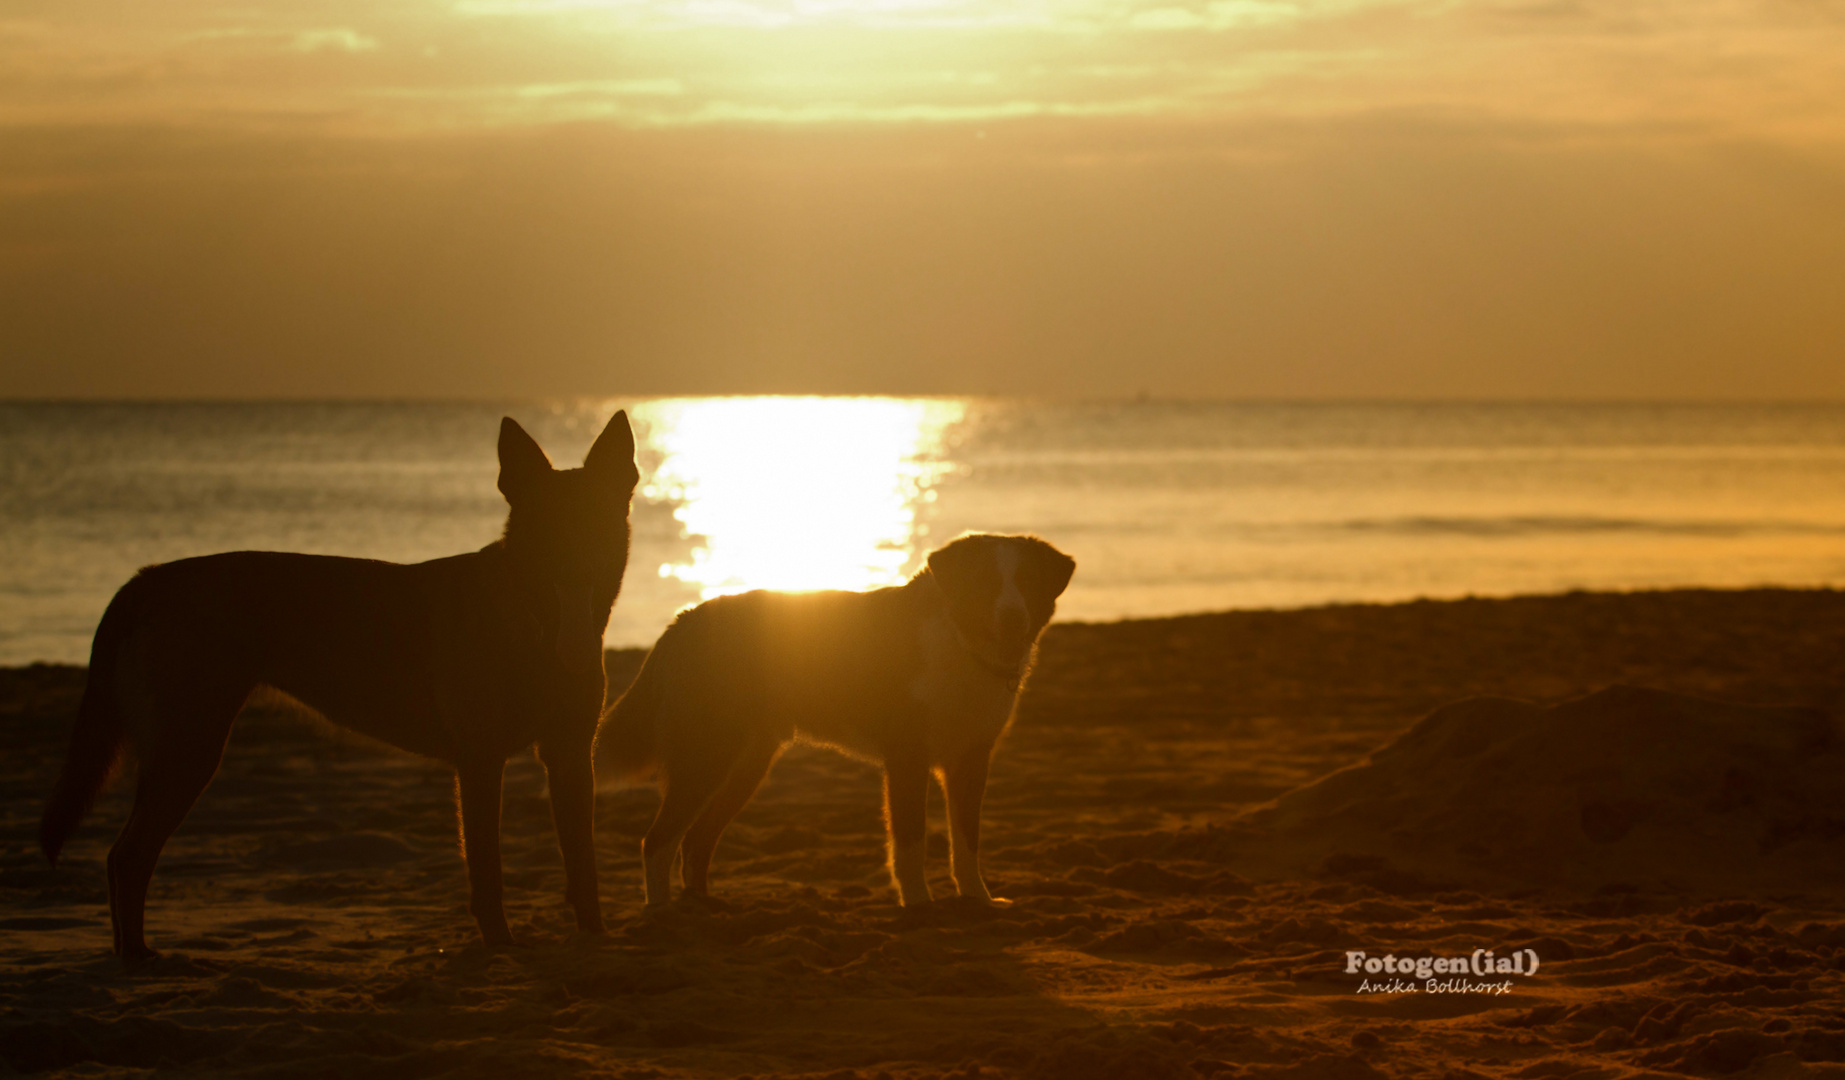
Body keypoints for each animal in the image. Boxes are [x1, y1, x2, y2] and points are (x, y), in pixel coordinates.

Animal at [39, 413, 642, 960]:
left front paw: (594, 937)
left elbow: (584, 865)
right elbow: (488, 874)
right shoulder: (480, 763)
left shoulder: (569, 755)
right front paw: (501, 947)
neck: (531, 621)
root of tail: (147, 579)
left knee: (124, 858)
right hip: (189, 751)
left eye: (596, 522)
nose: (576, 570)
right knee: (126, 858)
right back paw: (136, 957)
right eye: (545, 528)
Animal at [597, 535, 1077, 904]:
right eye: (984, 583)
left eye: (1028, 582)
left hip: (745, 764)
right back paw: (662, 914)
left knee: (695, 841)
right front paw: (920, 905)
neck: (962, 644)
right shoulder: (907, 758)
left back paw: (702, 906)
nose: (1013, 617)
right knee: (658, 841)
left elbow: (967, 841)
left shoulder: (971, 762)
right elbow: (911, 841)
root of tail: (684, 622)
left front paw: (977, 899)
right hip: (706, 755)